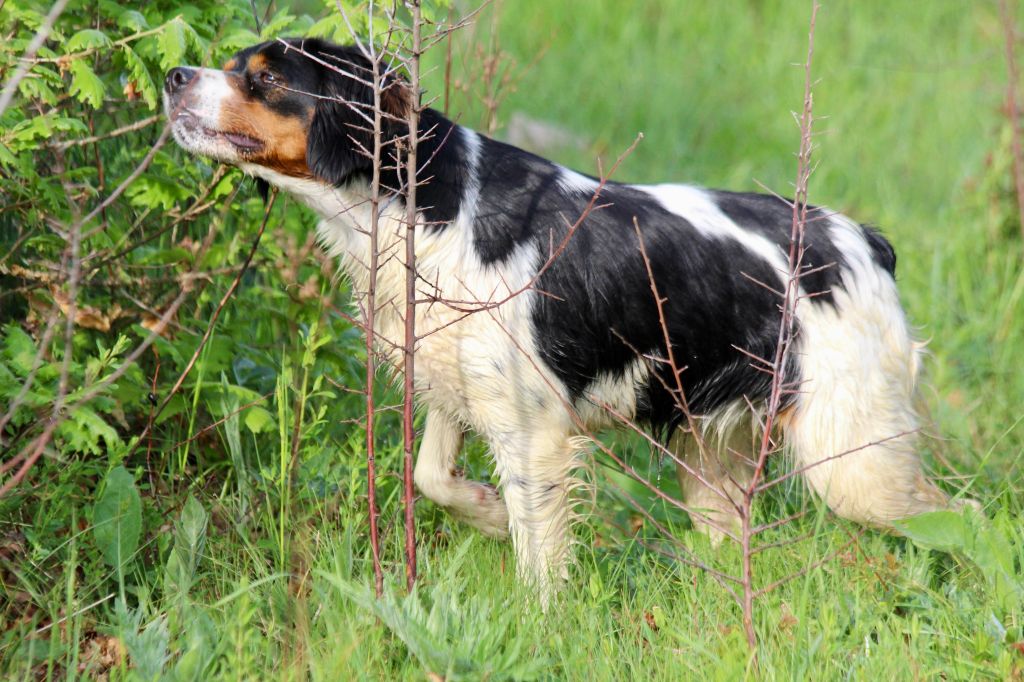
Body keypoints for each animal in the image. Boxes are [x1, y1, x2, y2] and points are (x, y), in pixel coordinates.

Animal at [163, 38, 970, 593]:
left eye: (265, 78)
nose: (173, 76)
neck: (427, 204)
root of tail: (864, 240)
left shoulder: (535, 429)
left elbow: (538, 555)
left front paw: (539, 618)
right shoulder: (458, 384)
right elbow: (432, 479)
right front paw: (487, 511)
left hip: (852, 456)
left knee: (959, 514)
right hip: (711, 453)